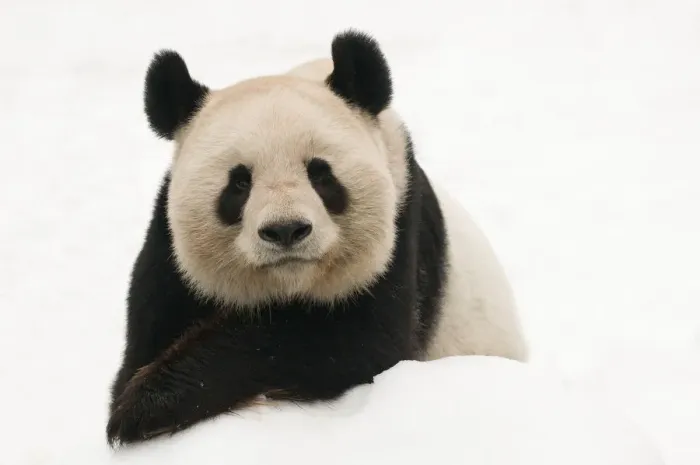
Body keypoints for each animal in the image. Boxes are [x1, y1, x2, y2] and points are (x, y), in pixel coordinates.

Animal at [106, 29, 528, 446]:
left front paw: (149, 404)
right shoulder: (169, 257)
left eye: (321, 173)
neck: (288, 287)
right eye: (239, 183)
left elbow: (346, 341)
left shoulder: (400, 229)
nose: (286, 230)